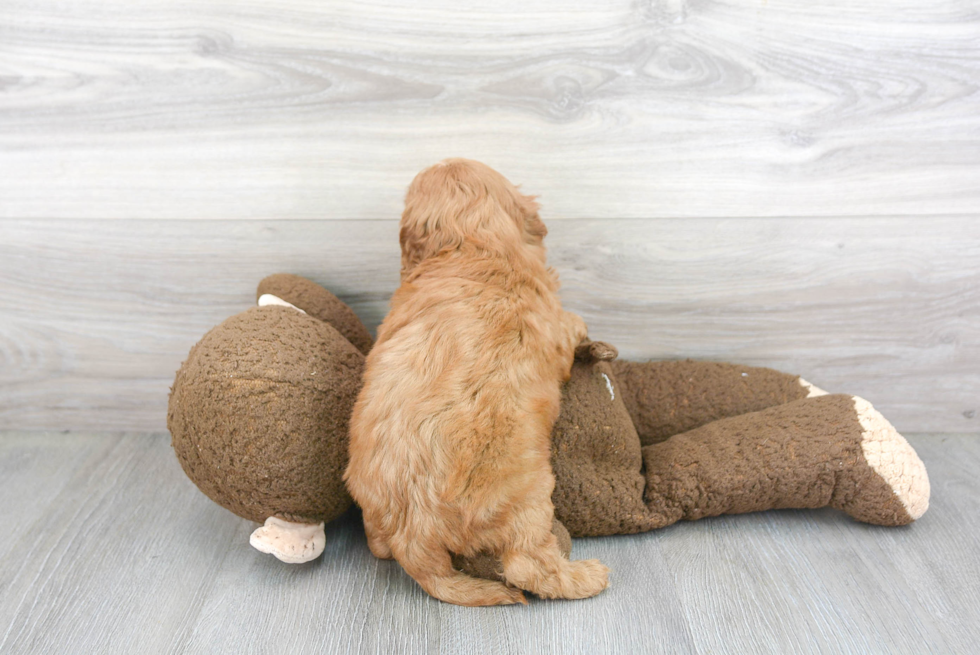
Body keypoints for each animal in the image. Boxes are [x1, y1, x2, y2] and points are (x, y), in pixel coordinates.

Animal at [340, 160, 608, 608]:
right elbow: (571, 325)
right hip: (528, 500)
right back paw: (587, 577)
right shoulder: (553, 324)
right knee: (528, 567)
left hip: (371, 504)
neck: (473, 245)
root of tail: (413, 536)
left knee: (378, 546)